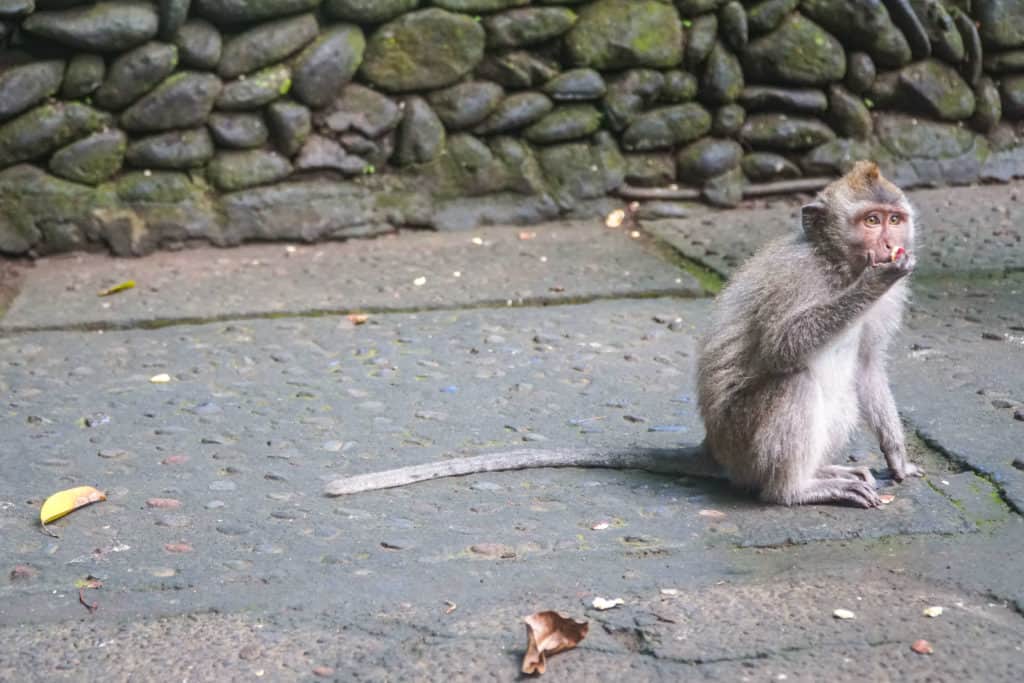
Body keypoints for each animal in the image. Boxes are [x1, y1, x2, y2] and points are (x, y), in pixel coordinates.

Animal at [325, 161, 921, 507]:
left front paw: (897, 458)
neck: (836, 264)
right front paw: (872, 281)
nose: (890, 242)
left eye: (894, 218)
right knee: (792, 382)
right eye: (870, 221)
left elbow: (868, 367)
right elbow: (781, 347)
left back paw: (824, 470)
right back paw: (795, 490)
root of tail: (714, 451)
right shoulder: (798, 279)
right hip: (744, 445)